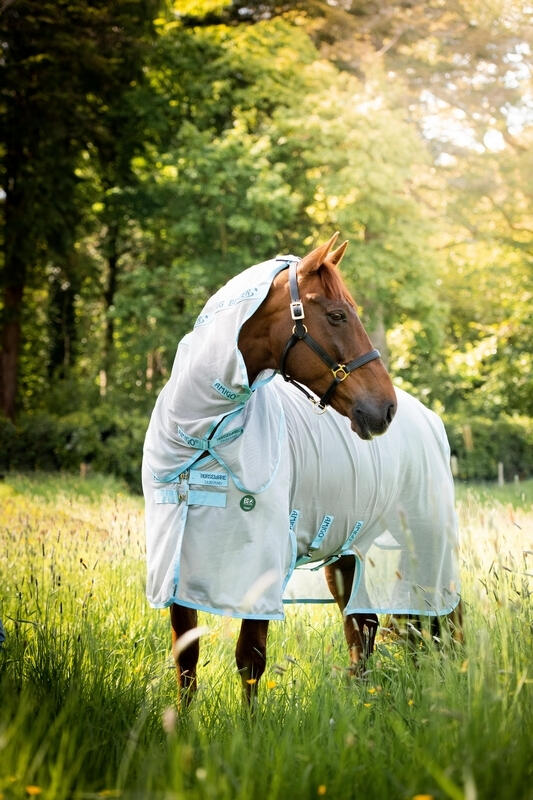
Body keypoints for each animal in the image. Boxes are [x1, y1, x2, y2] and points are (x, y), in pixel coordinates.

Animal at [142, 233, 461, 705]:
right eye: (337, 314)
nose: (385, 409)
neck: (204, 438)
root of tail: (429, 419)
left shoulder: (262, 566)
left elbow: (250, 659)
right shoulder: (176, 569)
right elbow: (186, 660)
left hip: (426, 548)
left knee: (439, 624)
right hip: (349, 558)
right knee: (362, 631)